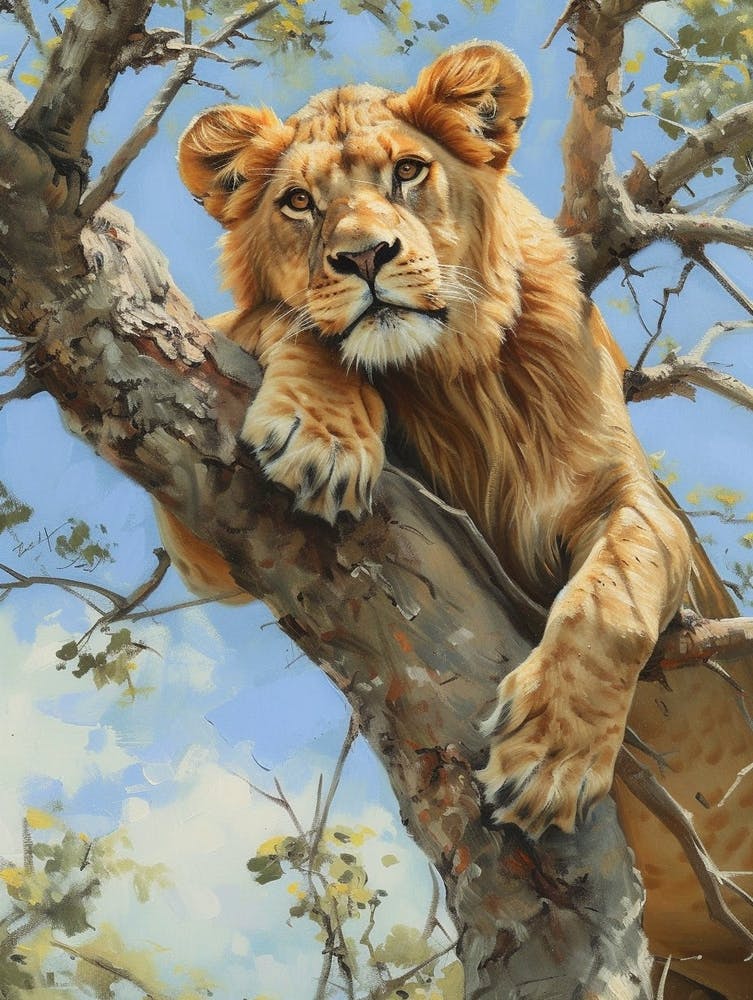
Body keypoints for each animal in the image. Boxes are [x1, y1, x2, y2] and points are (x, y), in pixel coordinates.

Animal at [161, 42, 753, 998]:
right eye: (299, 202)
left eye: (408, 172)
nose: (364, 256)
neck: (449, 377)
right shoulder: (208, 532)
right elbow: (269, 323)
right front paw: (321, 427)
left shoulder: (633, 498)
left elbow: (612, 598)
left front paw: (548, 757)